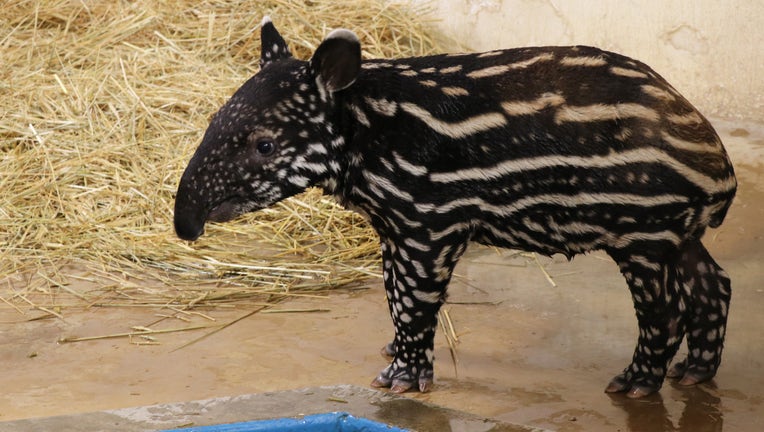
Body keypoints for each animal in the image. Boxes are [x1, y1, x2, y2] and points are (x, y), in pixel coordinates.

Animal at [173, 18, 736, 400]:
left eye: (264, 145)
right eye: (215, 119)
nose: (185, 222)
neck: (370, 128)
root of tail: (716, 159)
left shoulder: (430, 223)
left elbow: (414, 300)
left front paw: (400, 379)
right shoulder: (394, 225)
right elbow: (393, 294)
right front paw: (395, 351)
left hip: (642, 229)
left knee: (664, 309)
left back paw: (636, 383)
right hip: (675, 231)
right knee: (712, 283)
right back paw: (695, 372)